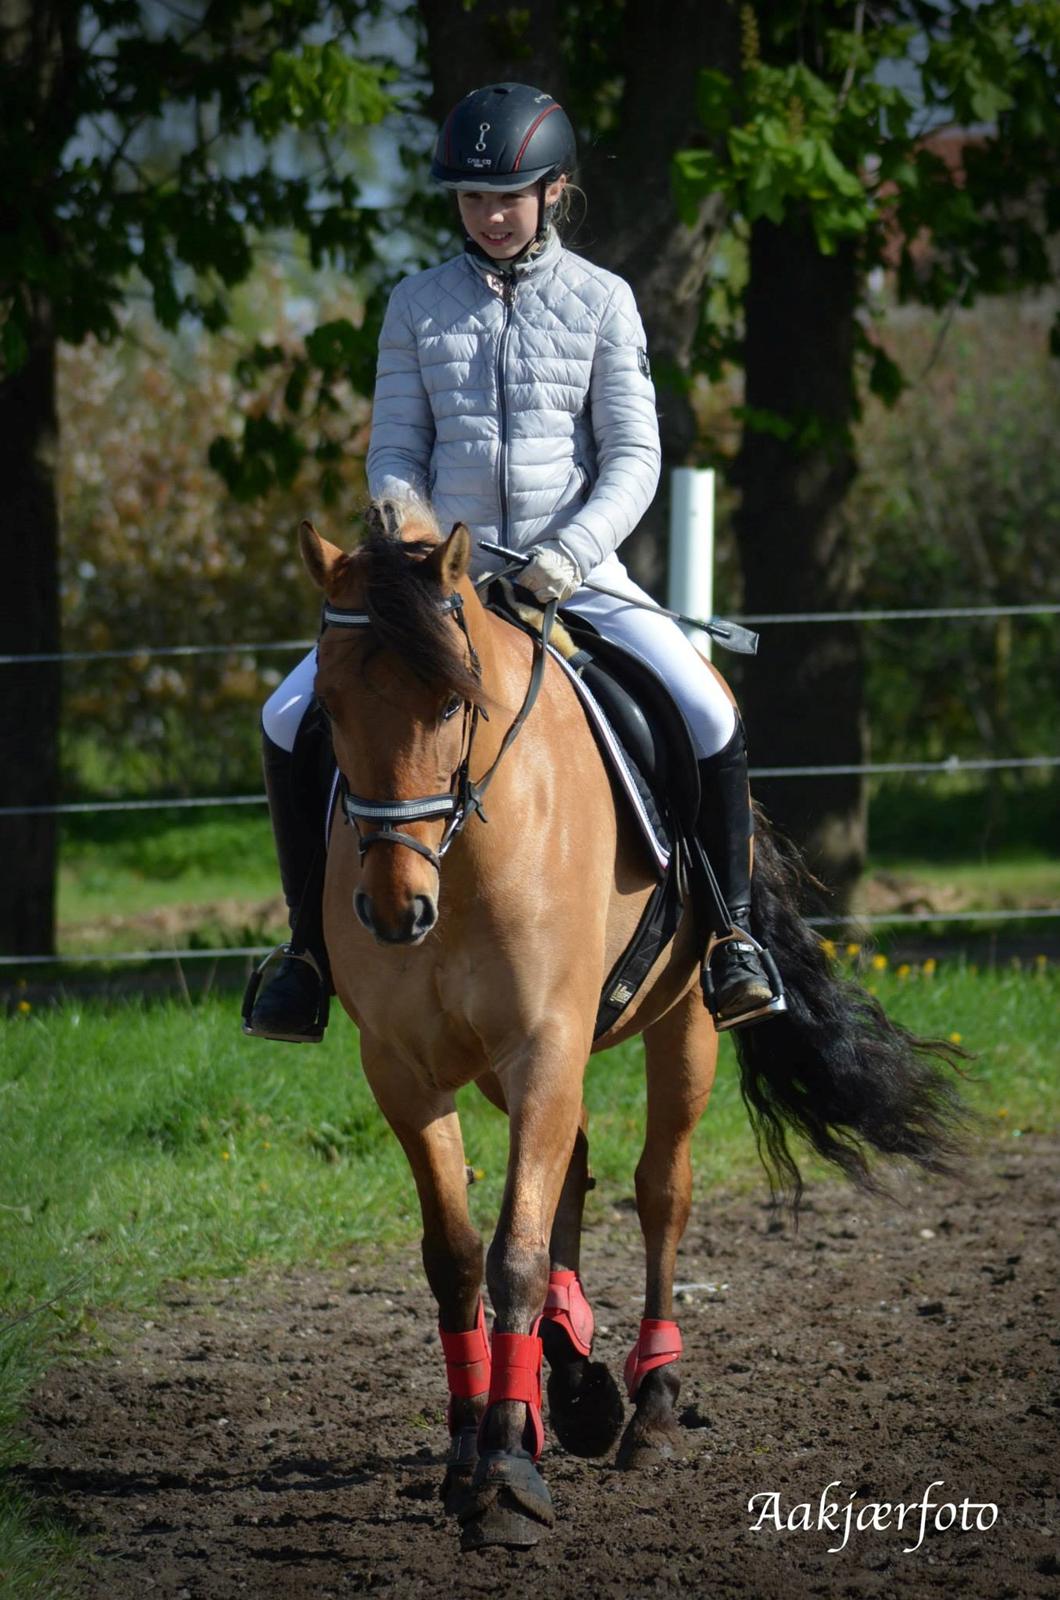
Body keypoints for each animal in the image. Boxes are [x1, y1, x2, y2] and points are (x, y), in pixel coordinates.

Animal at [296, 499, 966, 1551]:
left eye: (450, 705)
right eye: (326, 712)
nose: (396, 909)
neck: (471, 846)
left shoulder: (545, 1043)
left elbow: (517, 1255)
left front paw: (507, 1478)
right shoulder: (404, 1070)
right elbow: (456, 1257)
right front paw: (472, 1449)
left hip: (680, 1022)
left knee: (660, 1193)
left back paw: (648, 1405)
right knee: (570, 1169)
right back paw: (572, 1389)